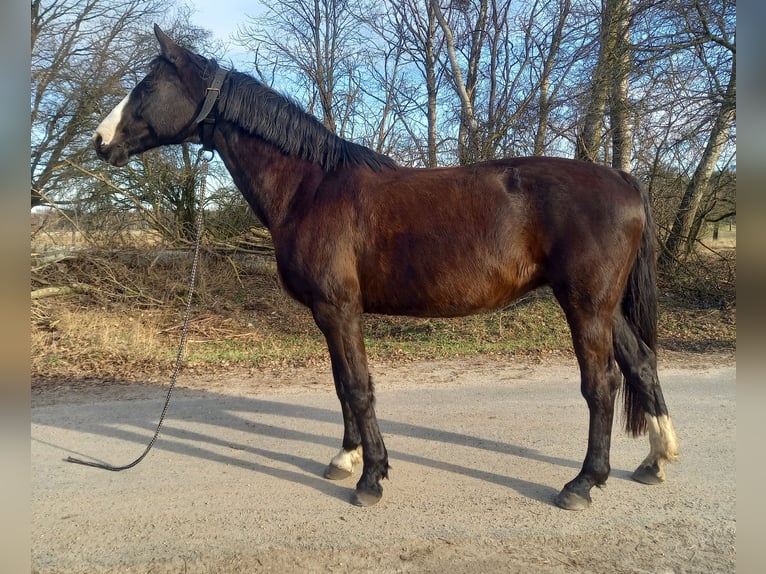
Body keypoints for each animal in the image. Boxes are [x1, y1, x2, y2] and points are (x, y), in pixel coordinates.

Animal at [92, 25, 679, 510]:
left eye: (146, 85)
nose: (100, 142)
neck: (310, 188)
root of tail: (624, 179)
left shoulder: (339, 307)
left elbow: (357, 385)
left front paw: (371, 477)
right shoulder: (329, 313)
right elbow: (340, 382)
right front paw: (346, 457)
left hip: (585, 304)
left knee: (602, 383)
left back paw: (583, 483)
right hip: (605, 307)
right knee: (641, 364)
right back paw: (655, 460)